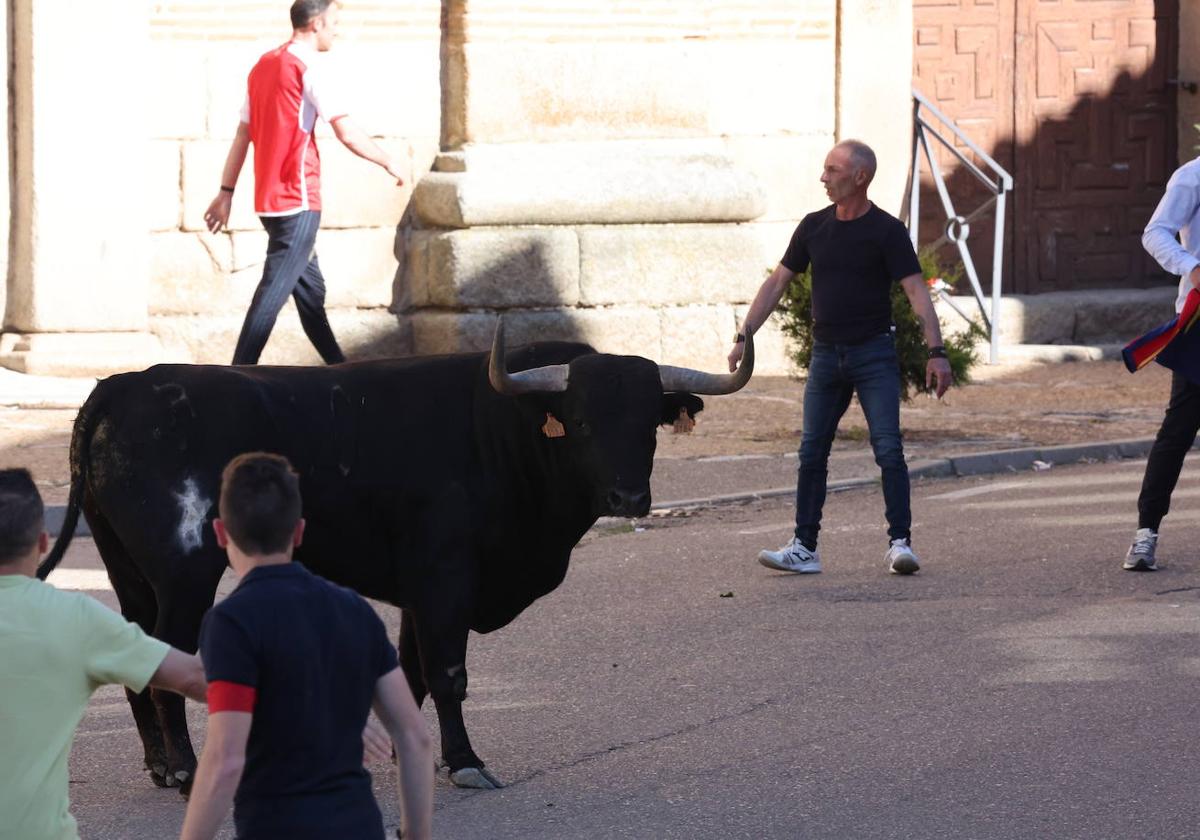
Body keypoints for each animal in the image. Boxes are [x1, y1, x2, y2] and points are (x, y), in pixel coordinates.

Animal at [39, 324, 748, 792]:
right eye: (580, 421)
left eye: (648, 422)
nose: (630, 497)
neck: (504, 429)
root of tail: (126, 387)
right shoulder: (446, 580)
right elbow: (448, 673)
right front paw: (465, 762)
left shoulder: (417, 592)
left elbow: (409, 674)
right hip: (185, 570)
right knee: (164, 655)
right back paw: (186, 768)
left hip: (128, 569)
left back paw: (161, 765)